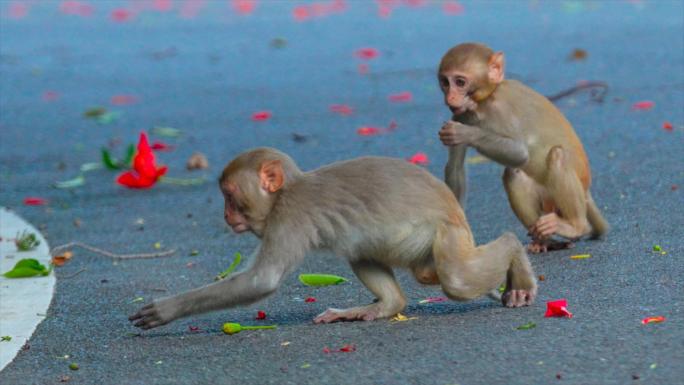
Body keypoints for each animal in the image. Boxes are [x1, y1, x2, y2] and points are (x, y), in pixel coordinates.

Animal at [128, 147, 536, 328]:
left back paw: (515, 255)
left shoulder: (289, 216)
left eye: (230, 196)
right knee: (366, 253)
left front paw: (166, 309)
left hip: (448, 234)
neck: (287, 190)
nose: (225, 215)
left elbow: (262, 281)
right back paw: (383, 306)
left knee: (456, 279)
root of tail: (456, 208)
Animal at [438, 42, 608, 252]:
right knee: (514, 173)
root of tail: (586, 190)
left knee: (557, 155)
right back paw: (545, 241)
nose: (450, 97)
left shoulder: (501, 109)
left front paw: (464, 133)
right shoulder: (460, 114)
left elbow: (519, 152)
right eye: (445, 82)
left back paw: (575, 226)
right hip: (548, 200)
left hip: (578, 183)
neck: (484, 102)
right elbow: (455, 167)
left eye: (460, 82)